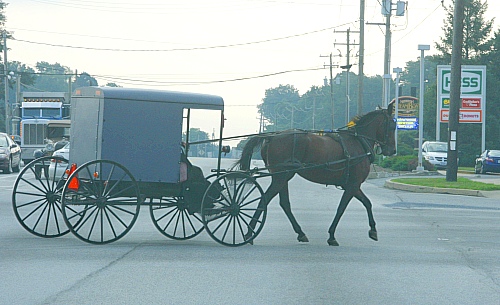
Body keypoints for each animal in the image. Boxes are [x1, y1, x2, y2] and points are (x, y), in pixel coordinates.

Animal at [233, 101, 394, 245]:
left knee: (284, 203)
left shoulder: (352, 185)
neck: (359, 142)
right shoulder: (353, 185)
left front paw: (373, 230)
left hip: (283, 176)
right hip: (281, 176)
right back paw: (249, 233)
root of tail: (271, 136)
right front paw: (332, 236)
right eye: (392, 125)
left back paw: (300, 233)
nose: (392, 150)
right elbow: (341, 208)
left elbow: (367, 203)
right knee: (265, 199)